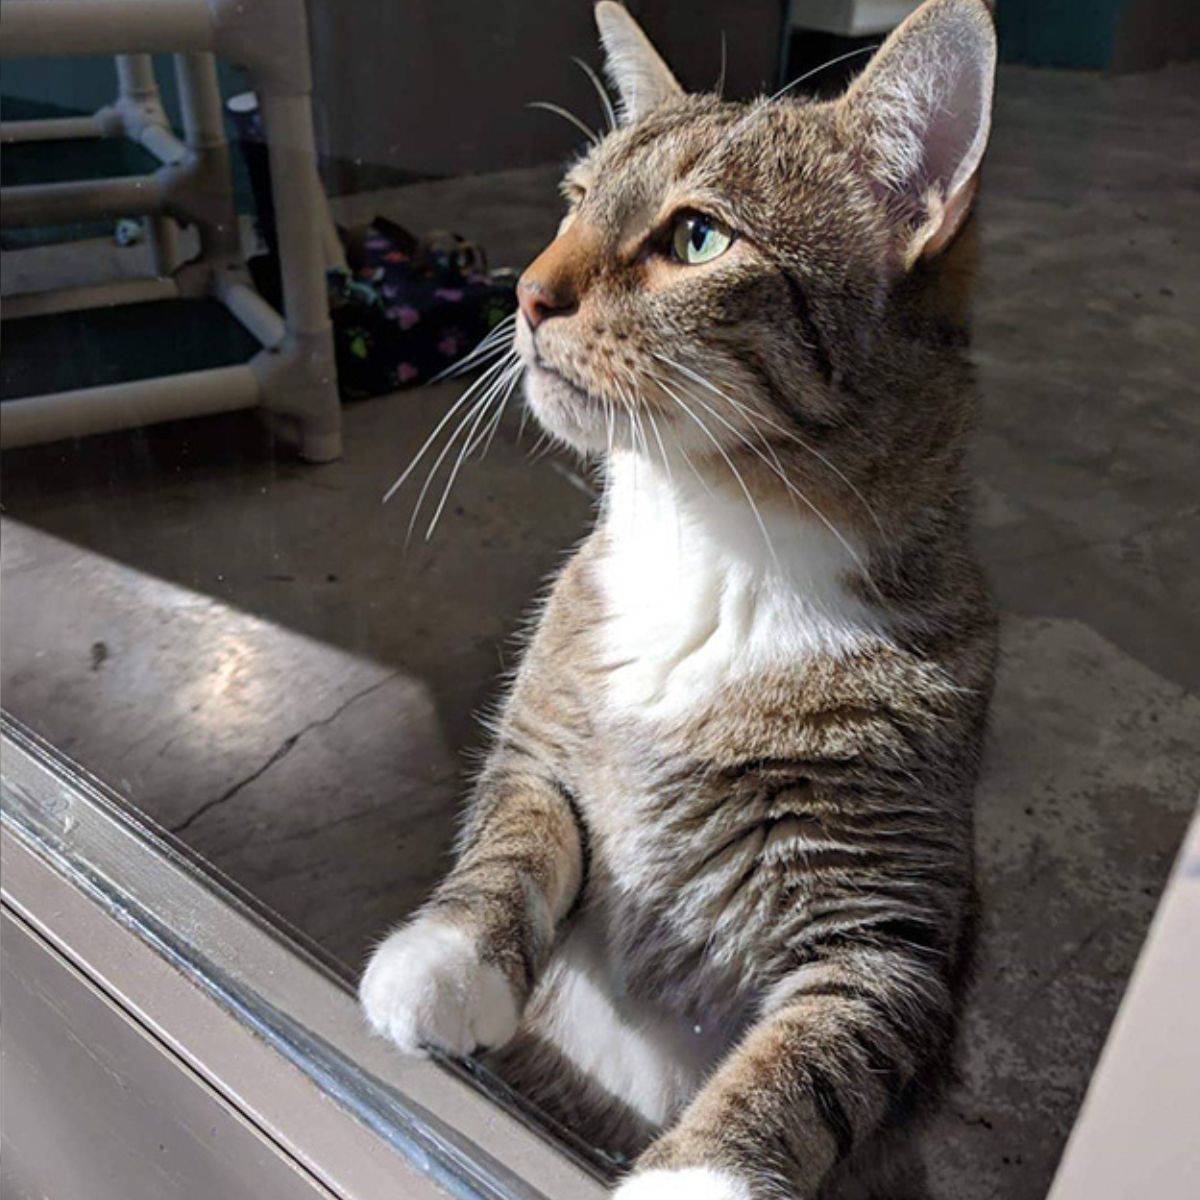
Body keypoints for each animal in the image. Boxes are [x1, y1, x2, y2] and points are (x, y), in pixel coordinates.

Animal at [360, 4, 998, 1195]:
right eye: (572, 202)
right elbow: (515, 833)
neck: (717, 555)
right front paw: (444, 961)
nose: (523, 292)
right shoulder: (544, 736)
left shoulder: (889, 931)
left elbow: (809, 1055)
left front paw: (700, 1171)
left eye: (698, 238)